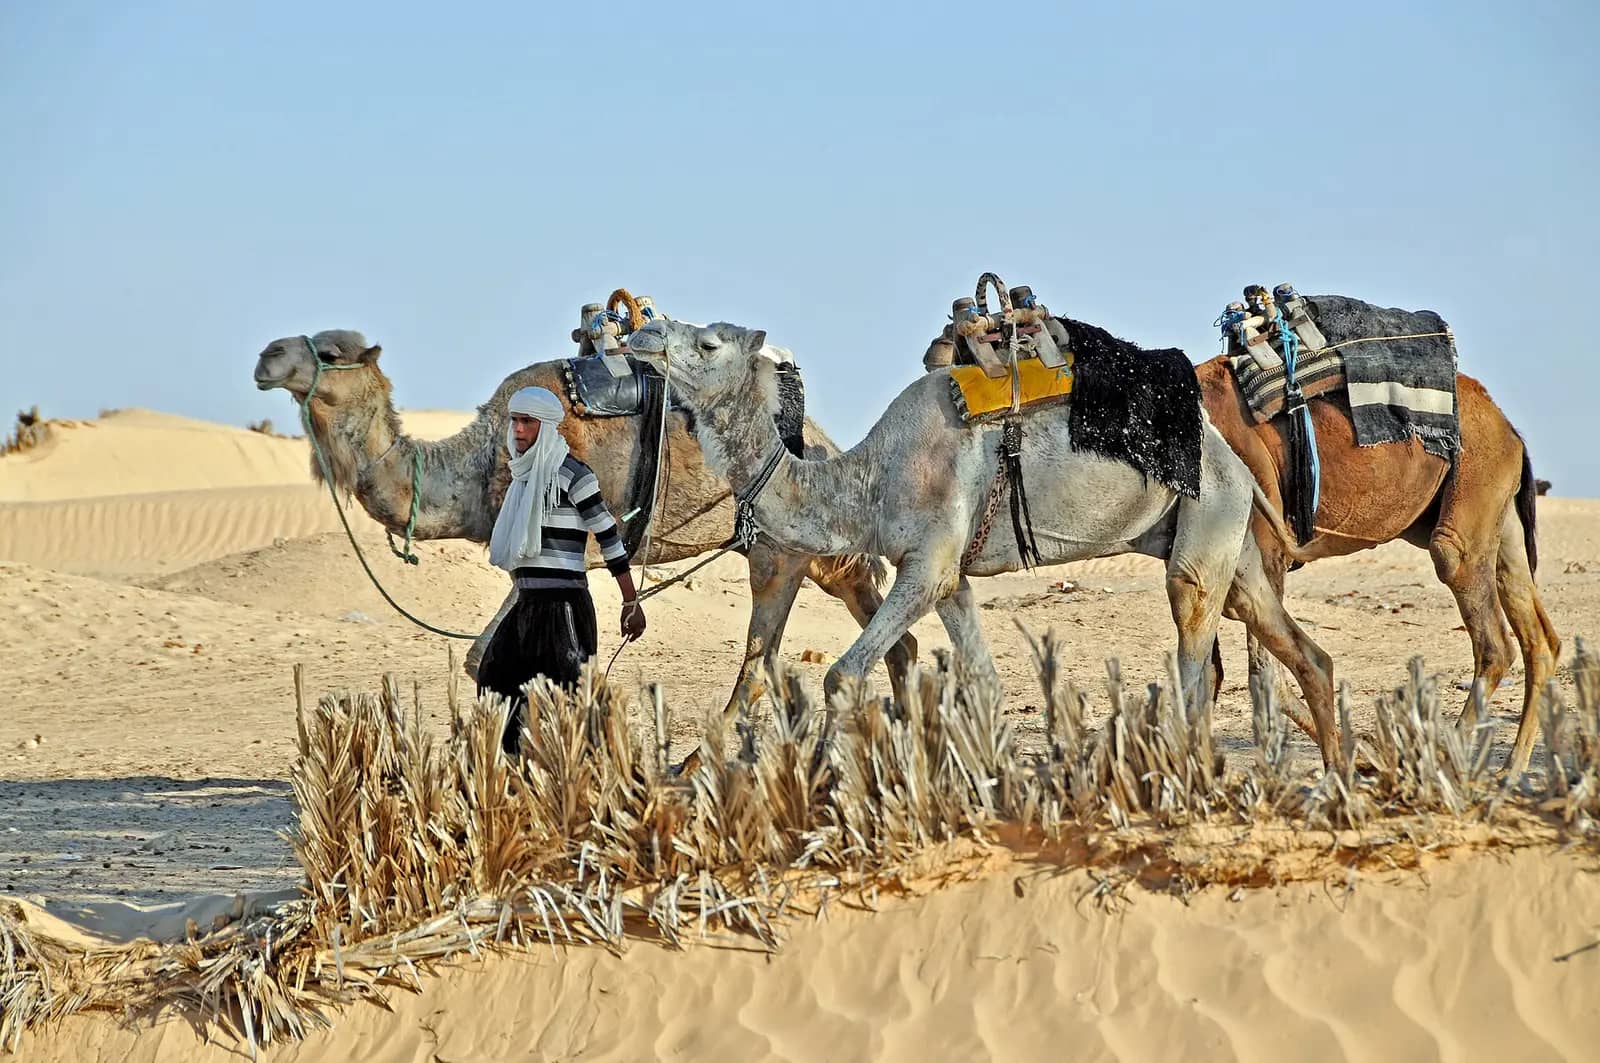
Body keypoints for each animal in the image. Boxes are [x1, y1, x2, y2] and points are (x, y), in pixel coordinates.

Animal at [251, 330, 917, 714]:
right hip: (822, 554)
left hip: (775, 549)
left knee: (759, 663)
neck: (484, 461)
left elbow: (496, 657)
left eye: (330, 353)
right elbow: (485, 660)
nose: (266, 356)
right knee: (891, 635)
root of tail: (826, 443)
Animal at [629, 319, 1344, 767]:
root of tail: (1234, 458)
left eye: (709, 342)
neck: (866, 482)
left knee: (1194, 648)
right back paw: (1337, 780)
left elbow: (839, 674)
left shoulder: (926, 563)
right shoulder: (950, 578)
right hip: (1227, 537)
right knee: (1300, 647)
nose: (644, 333)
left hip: (1206, 512)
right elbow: (983, 680)